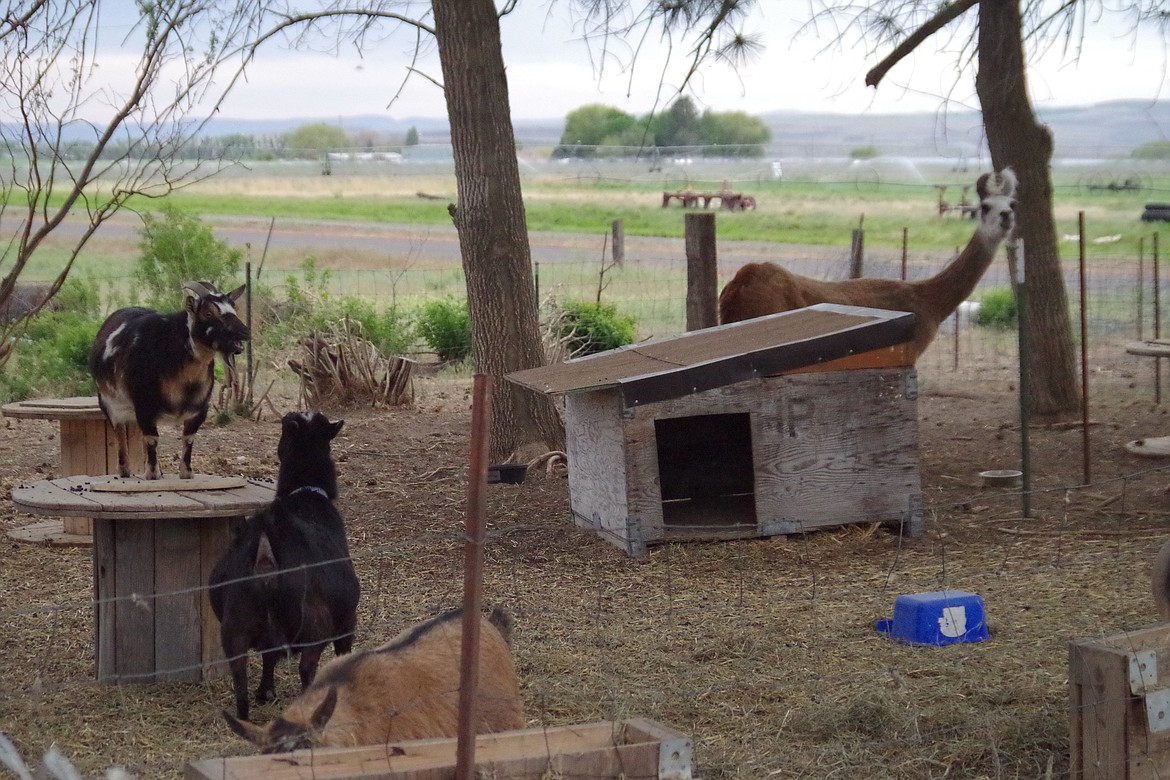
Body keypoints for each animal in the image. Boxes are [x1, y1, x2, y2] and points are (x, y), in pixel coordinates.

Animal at [88, 277, 249, 479]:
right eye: (208, 312)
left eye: (234, 308)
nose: (244, 332)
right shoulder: (144, 405)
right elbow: (151, 439)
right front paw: (152, 474)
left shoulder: (200, 408)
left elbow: (188, 439)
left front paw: (186, 472)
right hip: (108, 402)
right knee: (119, 430)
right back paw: (125, 470)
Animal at [208, 411, 358, 725]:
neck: (307, 495)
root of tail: (266, 553)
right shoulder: (346, 620)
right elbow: (342, 652)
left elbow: (268, 657)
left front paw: (266, 692)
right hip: (313, 625)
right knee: (307, 668)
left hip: (235, 627)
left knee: (240, 675)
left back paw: (243, 718)